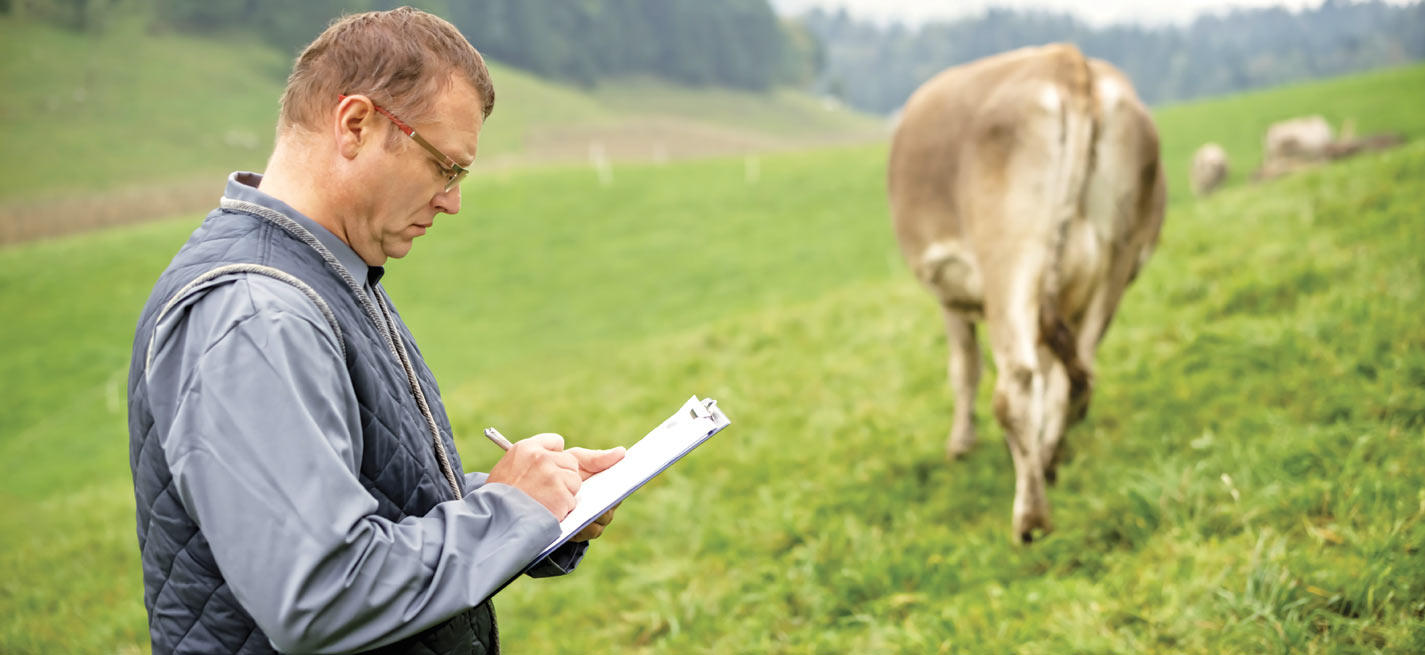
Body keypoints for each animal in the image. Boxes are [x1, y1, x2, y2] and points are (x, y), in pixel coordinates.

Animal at [889, 43, 1168, 541]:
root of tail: (1065, 61)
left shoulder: (949, 295)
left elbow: (965, 369)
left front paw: (961, 444)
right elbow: (1052, 372)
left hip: (1009, 258)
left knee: (1015, 384)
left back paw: (1031, 518)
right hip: (1117, 258)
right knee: (1077, 372)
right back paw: (1050, 460)